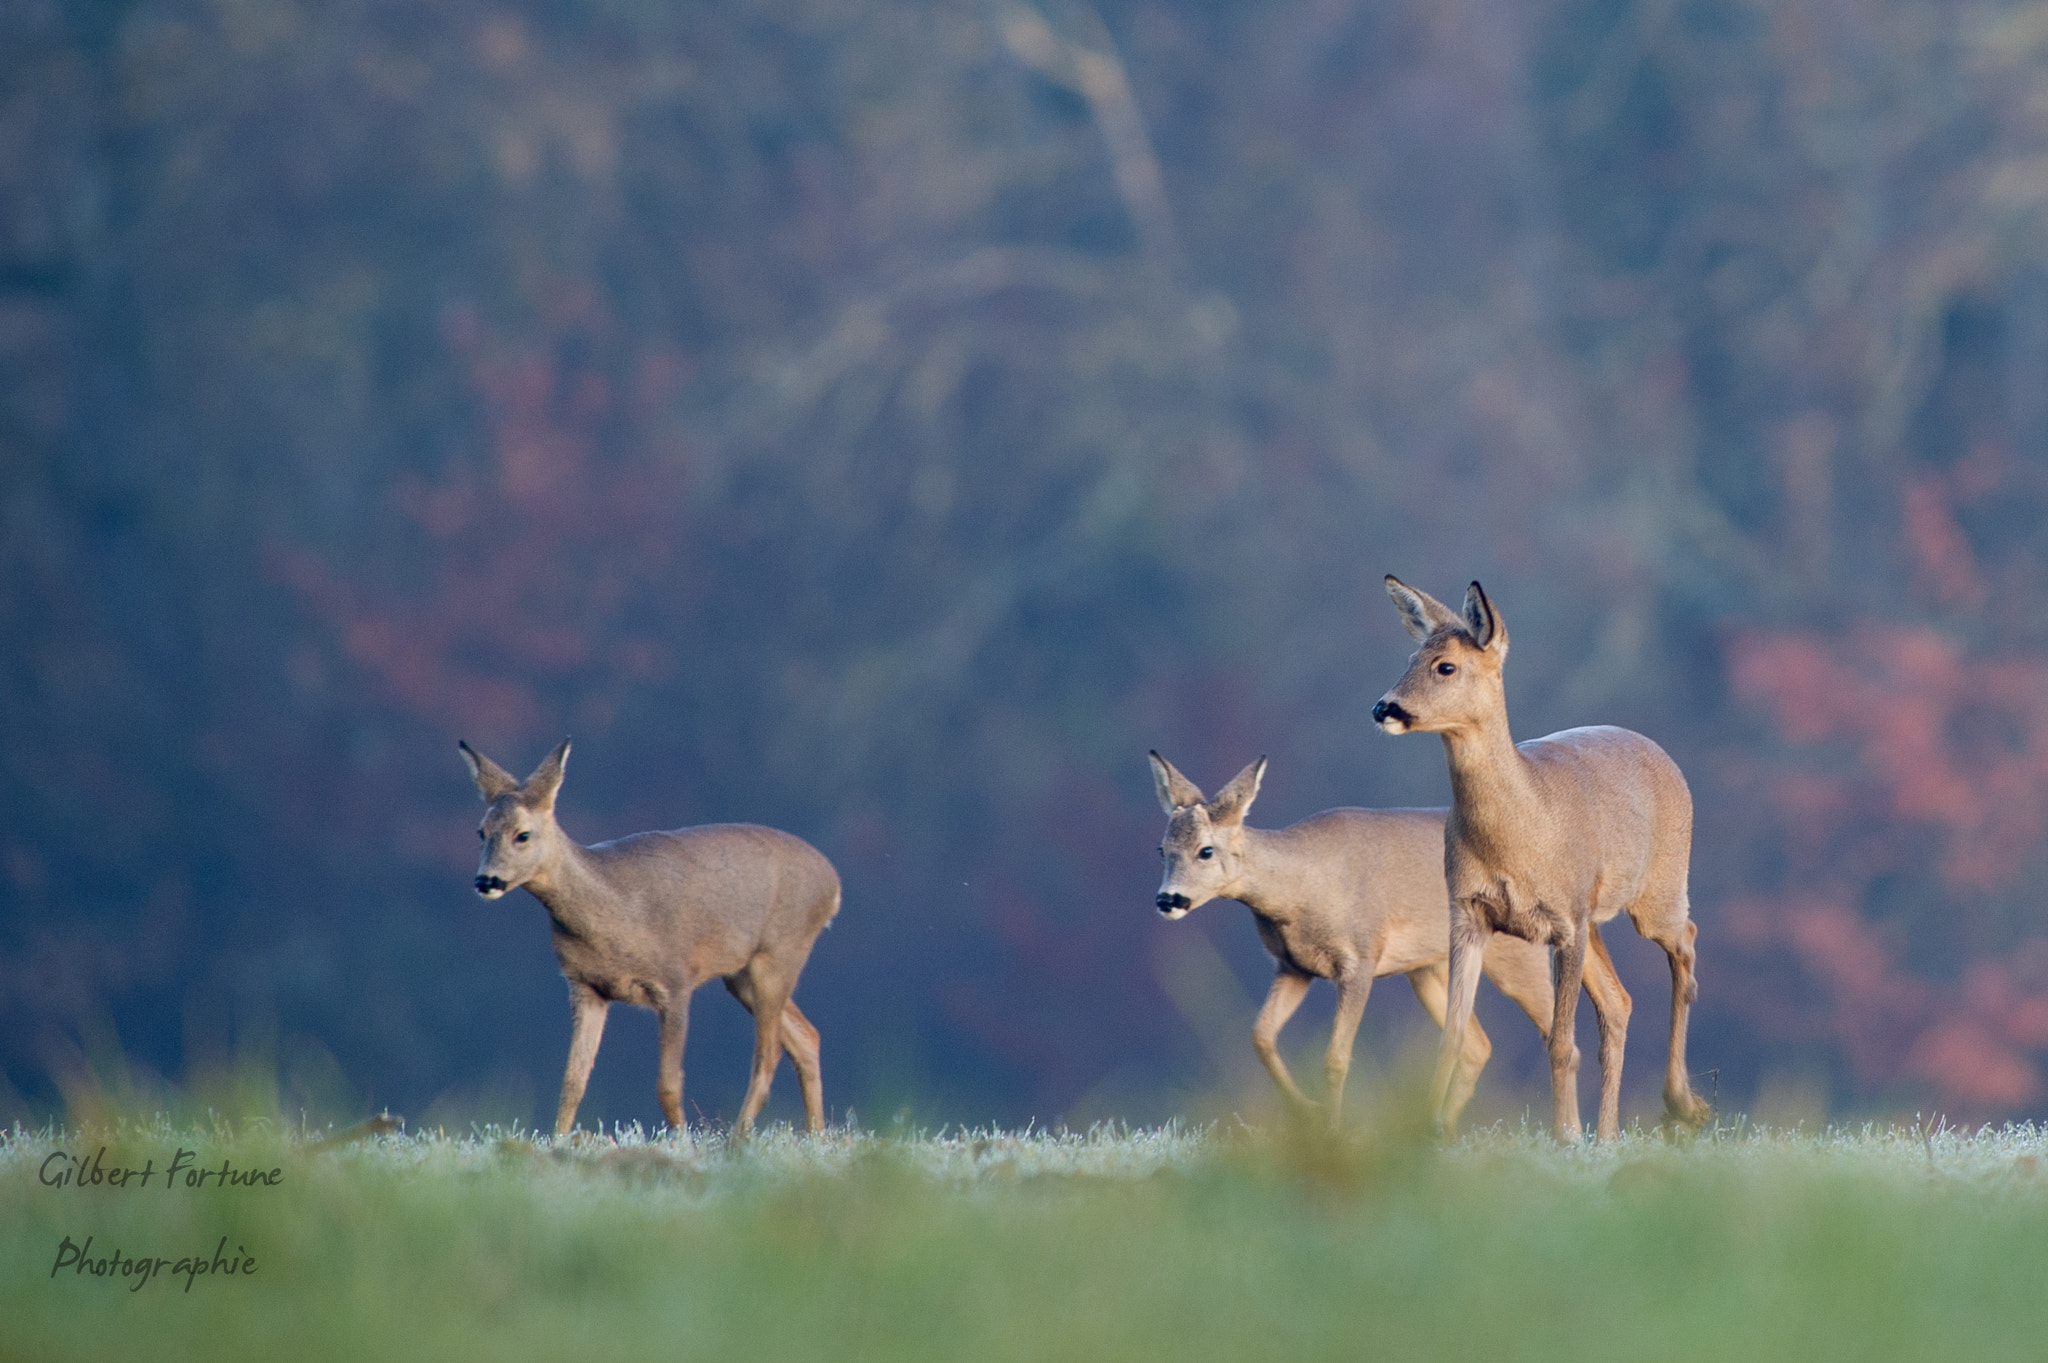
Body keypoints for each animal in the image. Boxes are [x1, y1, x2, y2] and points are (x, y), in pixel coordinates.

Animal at [458, 739, 839, 1139]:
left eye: (523, 834)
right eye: (481, 832)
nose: (486, 881)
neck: (617, 910)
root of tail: (834, 885)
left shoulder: (676, 981)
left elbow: (668, 1084)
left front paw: (684, 1144)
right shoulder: (585, 986)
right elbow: (573, 1081)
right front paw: (557, 1143)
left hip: (780, 953)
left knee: (768, 1057)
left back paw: (738, 1140)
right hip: (741, 974)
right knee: (806, 1038)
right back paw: (815, 1135)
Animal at [1149, 750, 1614, 1133]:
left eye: (1206, 850)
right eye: (1162, 849)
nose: (1168, 899)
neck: (1302, 888)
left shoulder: (1360, 959)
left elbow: (1337, 1057)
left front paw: (1332, 1129)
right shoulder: (1293, 966)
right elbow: (1260, 1036)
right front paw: (1308, 1112)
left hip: (1519, 957)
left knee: (1562, 1038)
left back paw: (1569, 1133)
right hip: (1428, 970)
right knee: (1477, 1046)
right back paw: (1438, 1129)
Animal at [1371, 577, 1709, 1142]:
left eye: (1446, 666)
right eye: (1410, 656)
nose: (1384, 709)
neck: (1519, 833)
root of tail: (1664, 757)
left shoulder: (1564, 921)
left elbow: (1560, 1041)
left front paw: (1562, 1136)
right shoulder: (1467, 913)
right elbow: (1453, 1036)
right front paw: (1429, 1132)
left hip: (1655, 890)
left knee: (1685, 940)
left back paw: (1683, 1103)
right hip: (1593, 916)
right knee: (1618, 1002)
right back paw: (1608, 1134)